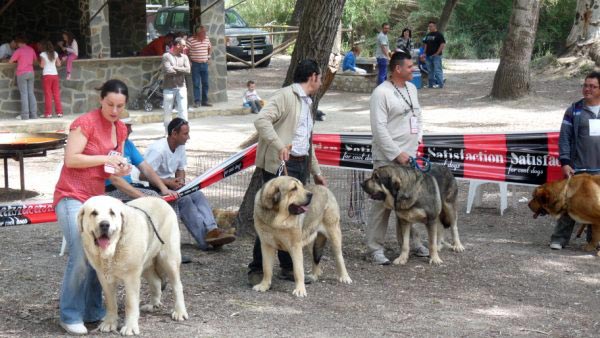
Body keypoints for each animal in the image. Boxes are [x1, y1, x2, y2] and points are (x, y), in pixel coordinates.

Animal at [78, 195, 188, 336]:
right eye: (94, 213)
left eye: (112, 213)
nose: (104, 224)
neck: (113, 250)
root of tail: (160, 199)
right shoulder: (104, 278)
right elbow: (110, 302)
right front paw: (109, 323)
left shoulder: (131, 277)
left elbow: (130, 303)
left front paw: (130, 327)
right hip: (146, 264)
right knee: (156, 282)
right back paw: (153, 305)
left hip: (168, 259)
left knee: (177, 286)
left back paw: (180, 311)